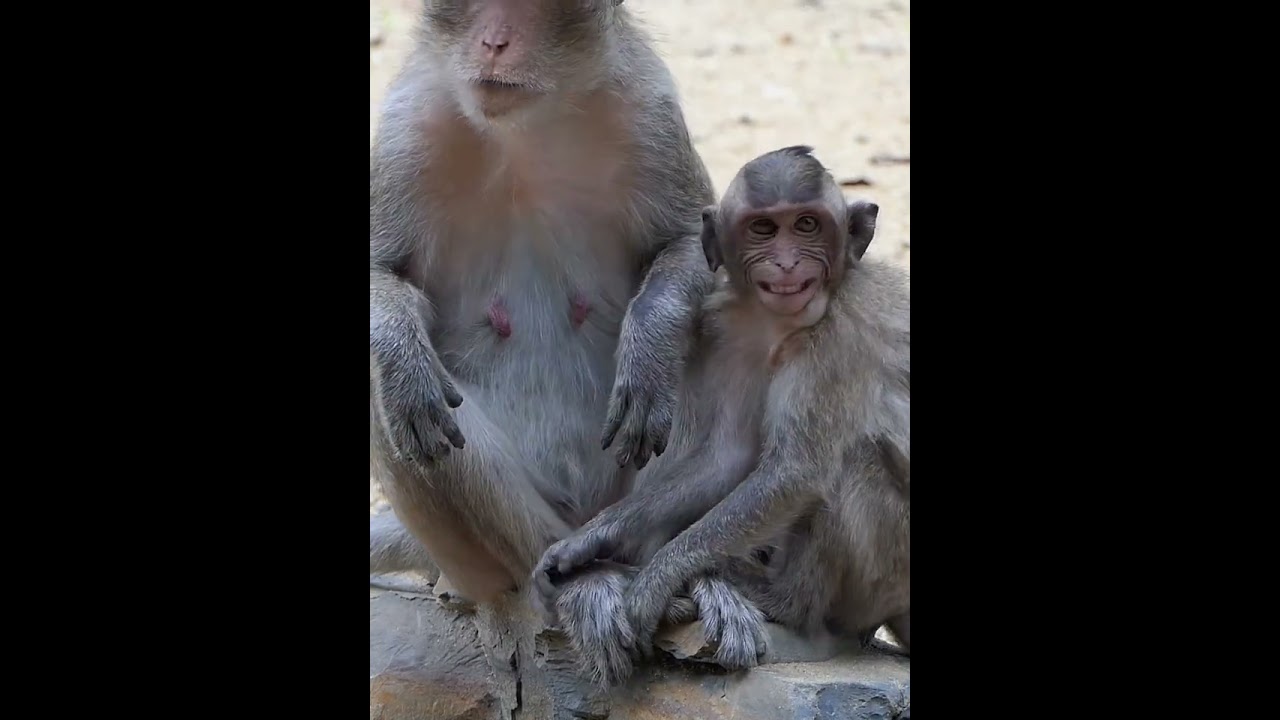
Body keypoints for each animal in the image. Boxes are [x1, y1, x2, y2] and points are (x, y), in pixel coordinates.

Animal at [368, 0, 722, 675]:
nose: (493, 42)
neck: (525, 126)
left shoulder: (649, 109)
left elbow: (693, 243)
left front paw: (651, 350)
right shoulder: (404, 130)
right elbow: (381, 275)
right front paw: (401, 355)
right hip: (490, 557)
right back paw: (579, 581)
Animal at [536, 146, 910, 677]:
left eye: (808, 224)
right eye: (763, 229)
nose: (788, 263)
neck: (785, 325)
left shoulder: (839, 335)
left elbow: (795, 472)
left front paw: (653, 583)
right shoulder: (734, 333)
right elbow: (727, 457)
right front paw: (585, 543)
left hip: (893, 571)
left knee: (855, 460)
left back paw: (782, 600)